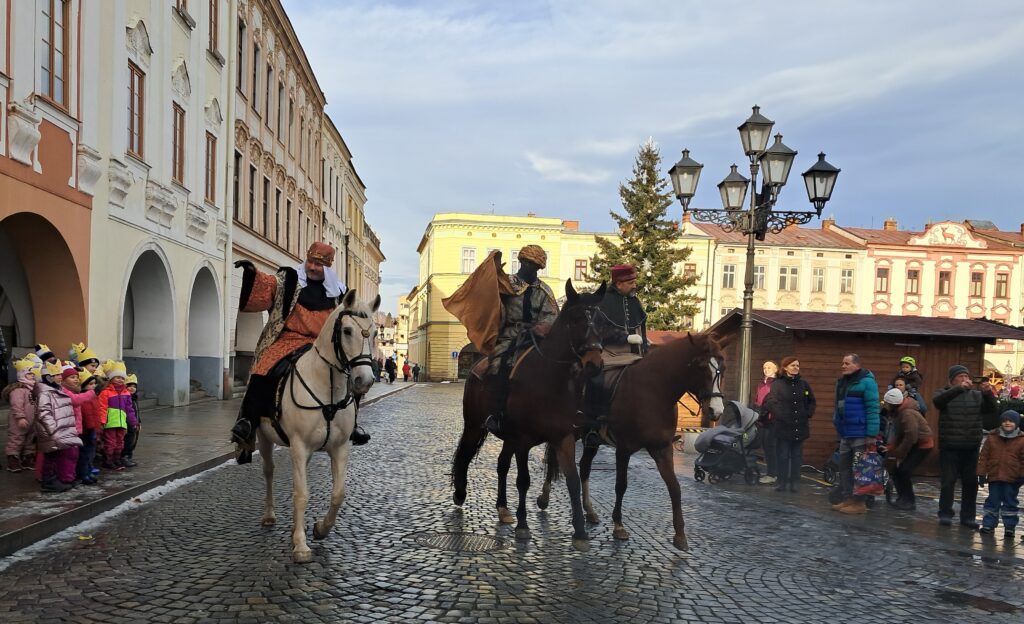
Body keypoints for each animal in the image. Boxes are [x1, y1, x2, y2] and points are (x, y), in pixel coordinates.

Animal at [256, 288, 380, 561]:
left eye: (375, 333)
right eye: (347, 331)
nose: (365, 380)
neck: (328, 388)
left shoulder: (340, 447)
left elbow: (338, 494)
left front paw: (320, 529)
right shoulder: (299, 446)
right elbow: (302, 494)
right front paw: (301, 546)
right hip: (264, 438)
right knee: (269, 471)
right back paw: (269, 516)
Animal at [450, 280, 606, 541]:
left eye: (602, 320)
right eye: (576, 320)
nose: (594, 364)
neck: (549, 380)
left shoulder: (563, 437)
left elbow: (573, 480)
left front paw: (580, 532)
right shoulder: (523, 440)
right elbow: (523, 480)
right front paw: (523, 524)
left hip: (507, 437)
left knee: (502, 465)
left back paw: (503, 508)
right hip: (474, 425)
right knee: (465, 454)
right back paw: (461, 494)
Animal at [536, 331, 729, 549]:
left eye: (722, 368)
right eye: (701, 366)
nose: (716, 411)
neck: (654, 391)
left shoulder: (662, 449)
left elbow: (675, 487)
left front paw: (680, 535)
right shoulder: (624, 448)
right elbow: (621, 485)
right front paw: (618, 526)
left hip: (591, 439)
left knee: (584, 467)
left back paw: (590, 511)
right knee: (554, 459)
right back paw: (544, 497)